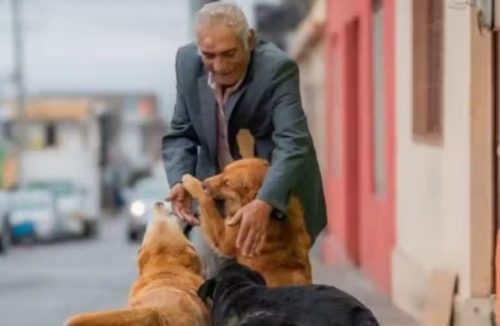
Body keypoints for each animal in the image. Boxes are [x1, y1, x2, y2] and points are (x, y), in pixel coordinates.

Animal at [182, 159, 310, 288]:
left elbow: (206, 200)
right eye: (224, 170)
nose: (204, 183)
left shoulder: (224, 240)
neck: (272, 215)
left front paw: (192, 182)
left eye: (227, 184)